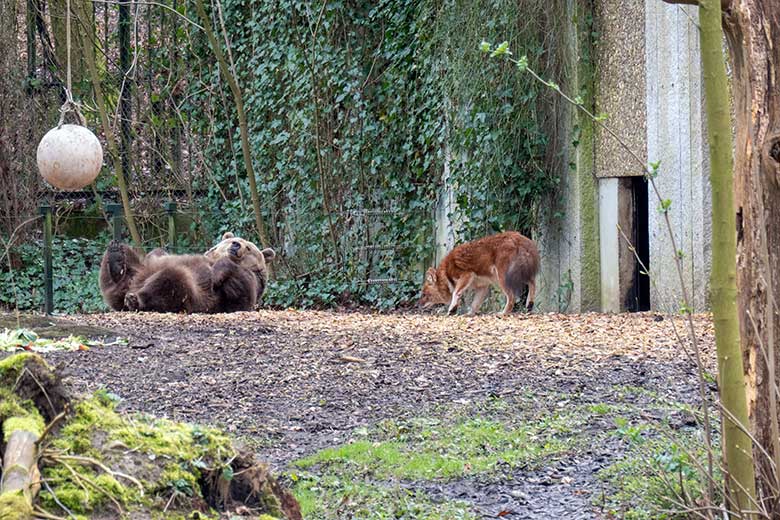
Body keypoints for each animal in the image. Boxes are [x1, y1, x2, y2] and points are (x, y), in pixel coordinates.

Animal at [100, 235, 276, 314]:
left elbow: (241, 294)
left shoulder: (245, 284)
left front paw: (217, 274)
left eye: (249, 247)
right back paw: (116, 258)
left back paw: (134, 299)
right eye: (232, 239)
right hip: (138, 271)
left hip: (189, 294)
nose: (236, 244)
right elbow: (157, 253)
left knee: (171, 280)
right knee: (127, 263)